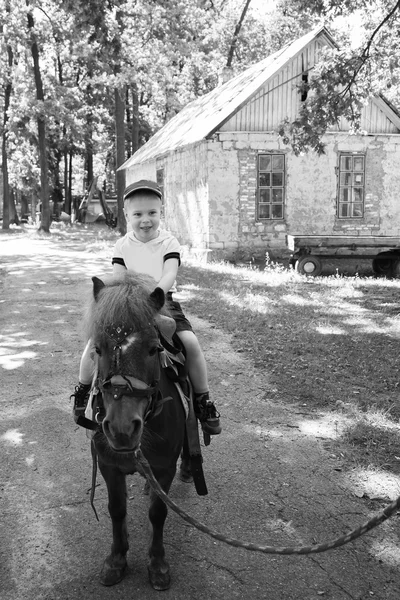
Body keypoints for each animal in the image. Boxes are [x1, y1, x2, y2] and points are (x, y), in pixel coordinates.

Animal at [85, 274, 192, 592]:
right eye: (97, 349)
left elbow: (158, 513)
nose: (122, 429)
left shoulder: (165, 467)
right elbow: (116, 509)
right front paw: (116, 560)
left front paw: (157, 565)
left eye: (154, 349)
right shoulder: (108, 465)